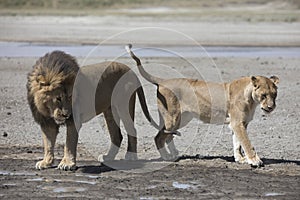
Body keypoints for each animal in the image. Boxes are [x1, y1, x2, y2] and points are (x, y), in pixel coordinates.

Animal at [27, 50, 156, 170]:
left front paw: (67, 164)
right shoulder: (46, 122)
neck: (48, 110)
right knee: (116, 135)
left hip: (123, 106)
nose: (66, 115)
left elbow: (69, 143)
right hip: (110, 111)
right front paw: (46, 162)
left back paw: (130, 156)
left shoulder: (74, 120)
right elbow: (48, 144)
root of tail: (130, 70)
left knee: (132, 130)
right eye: (58, 98)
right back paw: (108, 157)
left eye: (70, 97)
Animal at [126, 44, 278, 167]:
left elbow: (237, 143)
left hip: (181, 118)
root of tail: (163, 81)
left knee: (168, 136)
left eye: (274, 94)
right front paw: (254, 160)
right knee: (159, 137)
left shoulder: (240, 123)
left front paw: (240, 159)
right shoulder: (237, 122)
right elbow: (246, 142)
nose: (271, 107)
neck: (252, 99)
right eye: (264, 95)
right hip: (172, 117)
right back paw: (167, 157)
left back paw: (174, 154)